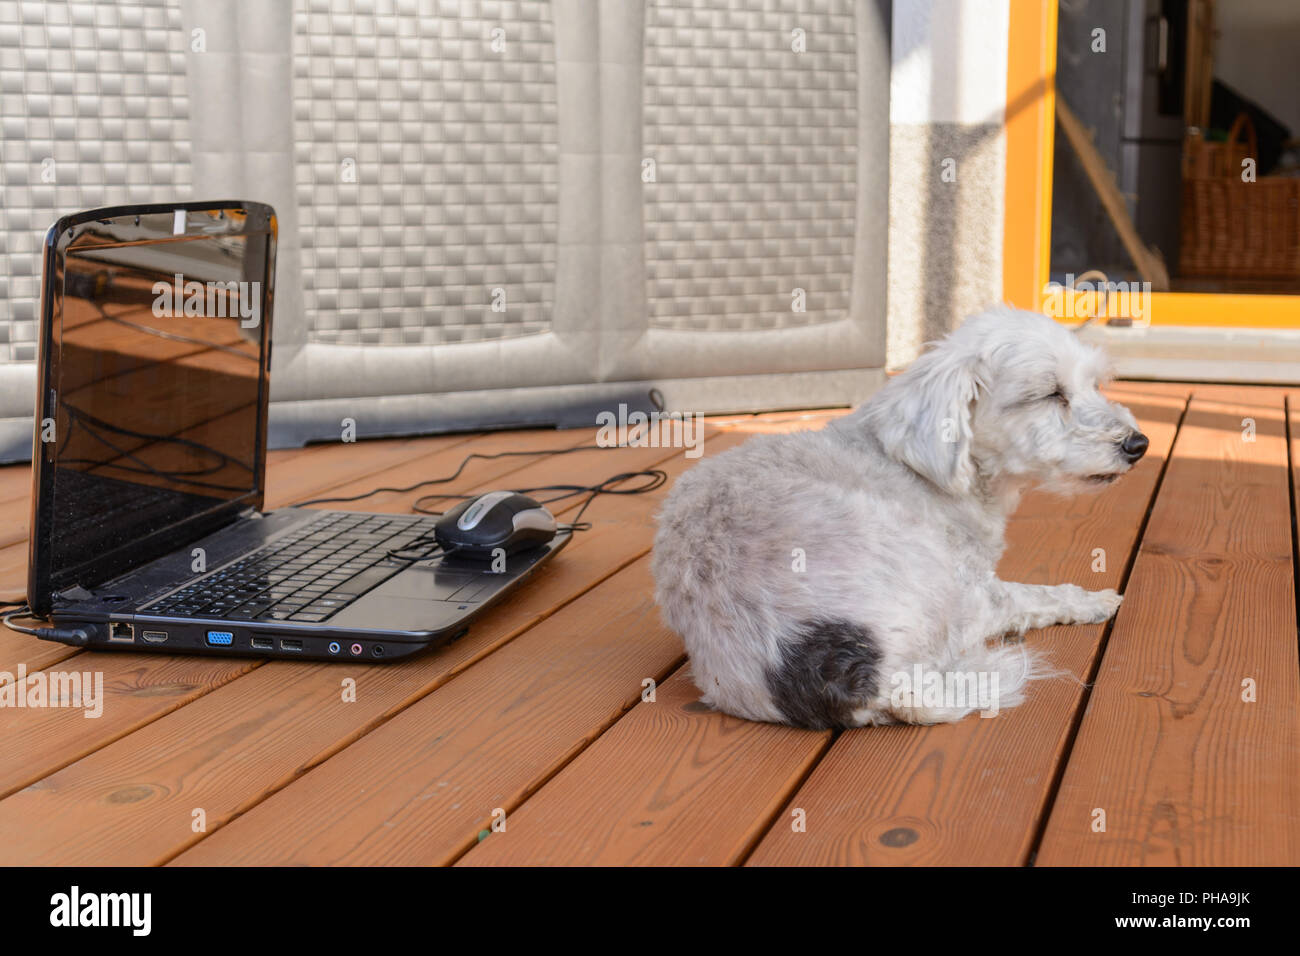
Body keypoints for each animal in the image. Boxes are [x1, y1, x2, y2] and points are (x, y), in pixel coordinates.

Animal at [650, 304, 1149, 723]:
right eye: (1050, 394)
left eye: (1094, 384)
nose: (1138, 444)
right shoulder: (978, 587)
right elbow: (1036, 596)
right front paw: (1092, 600)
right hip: (938, 583)